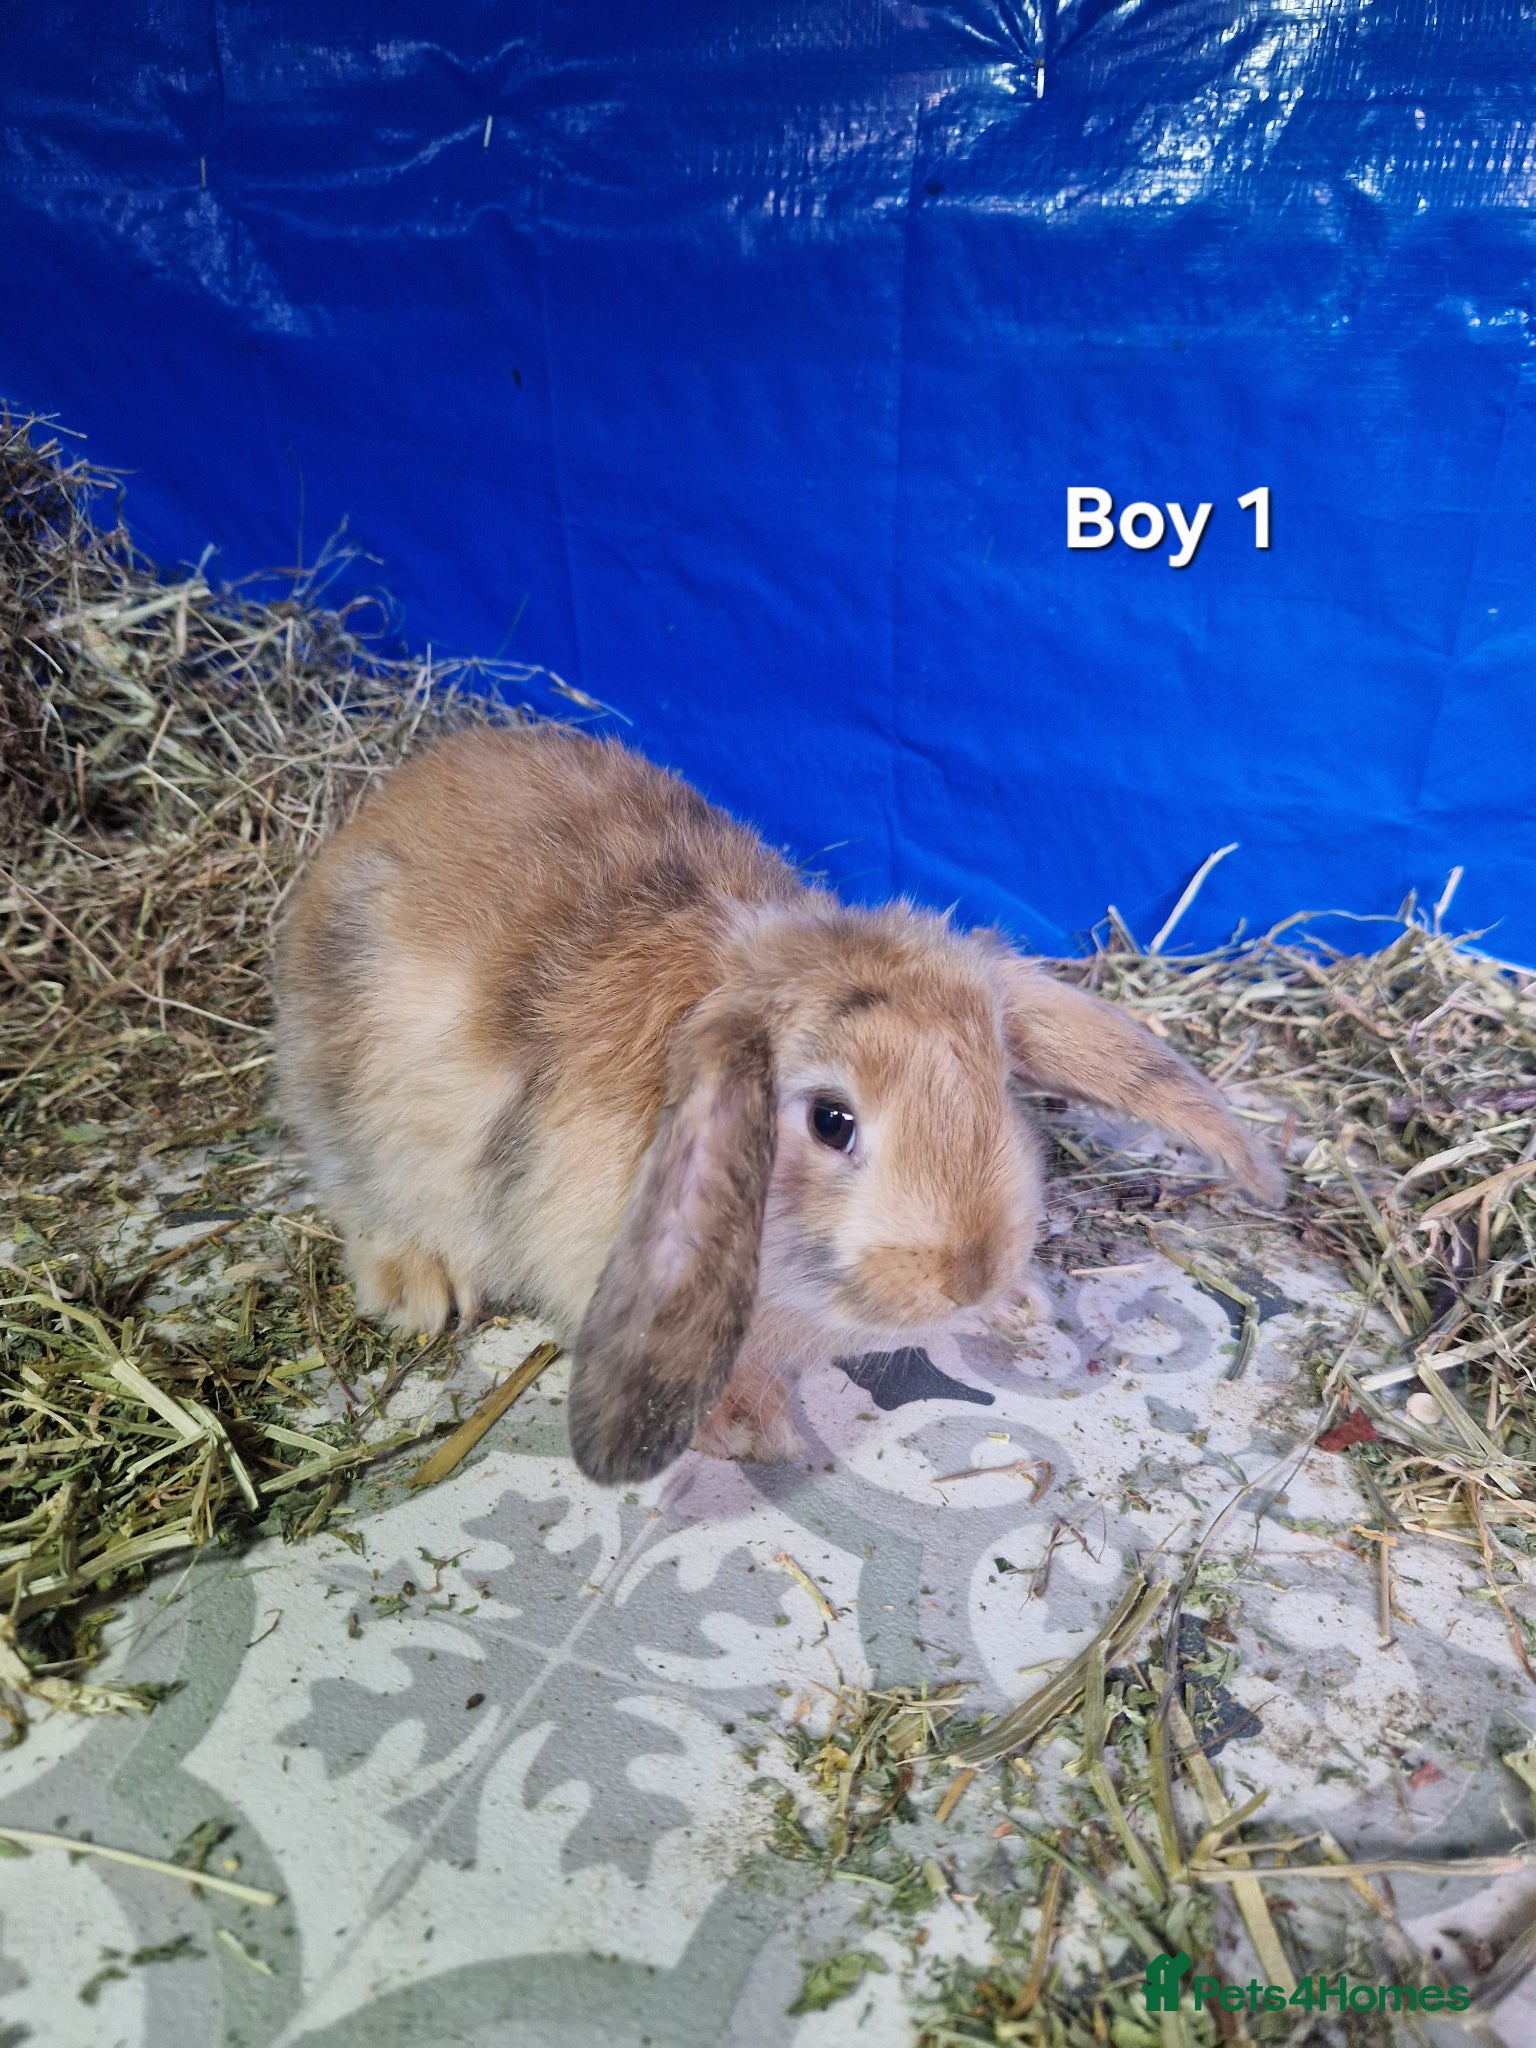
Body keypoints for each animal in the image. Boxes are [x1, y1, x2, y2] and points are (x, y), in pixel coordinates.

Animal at [274, 722, 1283, 1485]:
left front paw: (1021, 1308)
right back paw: (419, 1292)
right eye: (832, 1121)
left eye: (997, 1083)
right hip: (355, 1104)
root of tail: (383, 803)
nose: (969, 1273)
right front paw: (753, 1429)